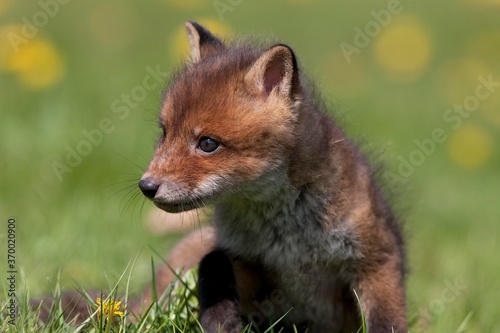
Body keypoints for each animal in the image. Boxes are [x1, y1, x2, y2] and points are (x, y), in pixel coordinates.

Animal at [136, 22, 406, 330]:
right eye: (165, 133)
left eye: (207, 143)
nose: (146, 186)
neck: (287, 237)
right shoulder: (255, 269)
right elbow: (213, 262)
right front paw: (221, 324)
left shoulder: (376, 258)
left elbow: (387, 320)